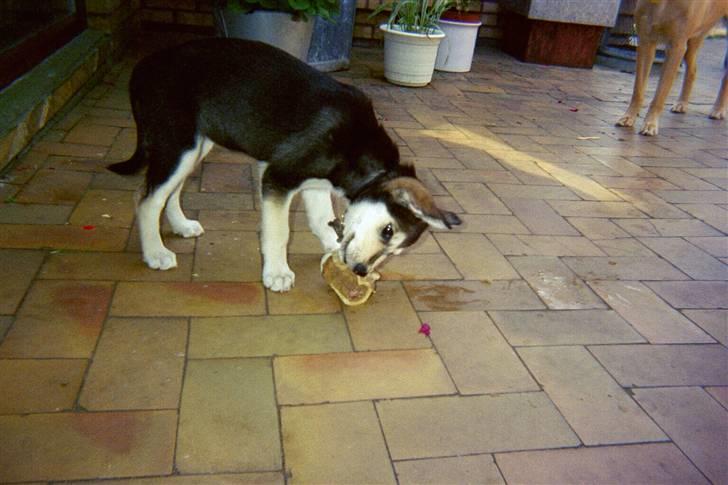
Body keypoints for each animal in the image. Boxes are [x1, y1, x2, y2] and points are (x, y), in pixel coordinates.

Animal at [108, 37, 460, 292]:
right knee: (146, 199)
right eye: (388, 231)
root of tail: (144, 66)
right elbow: (279, 232)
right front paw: (277, 273)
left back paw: (181, 225)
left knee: (169, 191)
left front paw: (332, 250)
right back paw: (155, 253)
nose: (360, 270)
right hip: (179, 144)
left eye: (395, 251)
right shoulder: (277, 177)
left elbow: (323, 222)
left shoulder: (315, 186)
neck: (358, 149)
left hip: (195, 145)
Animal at [616, 0, 728, 135]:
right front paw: (629, 117)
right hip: (694, 39)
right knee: (693, 70)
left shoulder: (676, 47)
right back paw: (682, 103)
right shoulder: (645, 41)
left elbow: (660, 93)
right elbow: (638, 89)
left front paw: (650, 124)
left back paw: (718, 109)